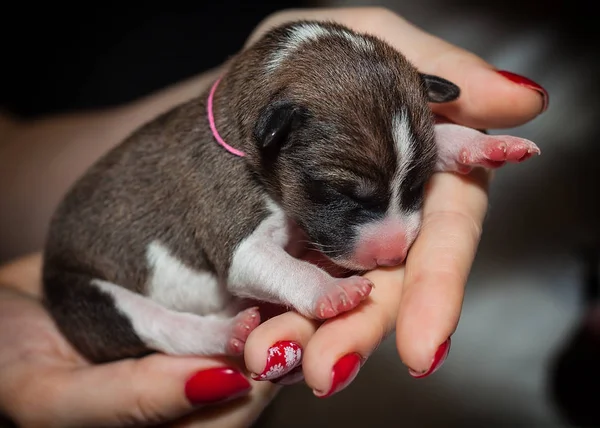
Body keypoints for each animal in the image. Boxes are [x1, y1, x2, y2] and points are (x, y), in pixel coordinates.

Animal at [41, 19, 540, 362]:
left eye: (418, 185)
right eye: (339, 192)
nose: (393, 256)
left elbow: (443, 134)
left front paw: (486, 145)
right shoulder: (233, 223)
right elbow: (275, 263)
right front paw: (331, 292)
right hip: (87, 299)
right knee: (159, 327)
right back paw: (225, 333)